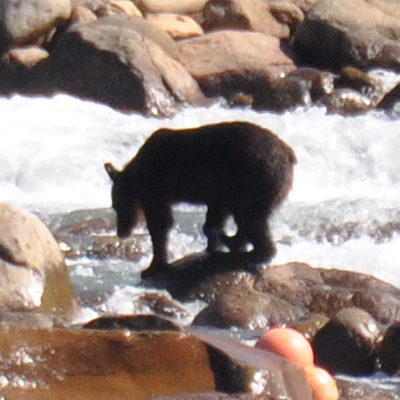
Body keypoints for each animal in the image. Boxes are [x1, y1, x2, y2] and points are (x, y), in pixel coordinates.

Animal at [104, 120, 296, 276]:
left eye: (117, 205)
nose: (121, 232)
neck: (138, 174)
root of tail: (288, 153)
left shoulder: (157, 188)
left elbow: (160, 223)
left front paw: (153, 266)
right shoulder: (219, 190)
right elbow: (215, 215)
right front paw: (212, 244)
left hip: (255, 176)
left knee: (250, 217)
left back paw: (251, 252)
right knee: (248, 218)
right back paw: (234, 242)